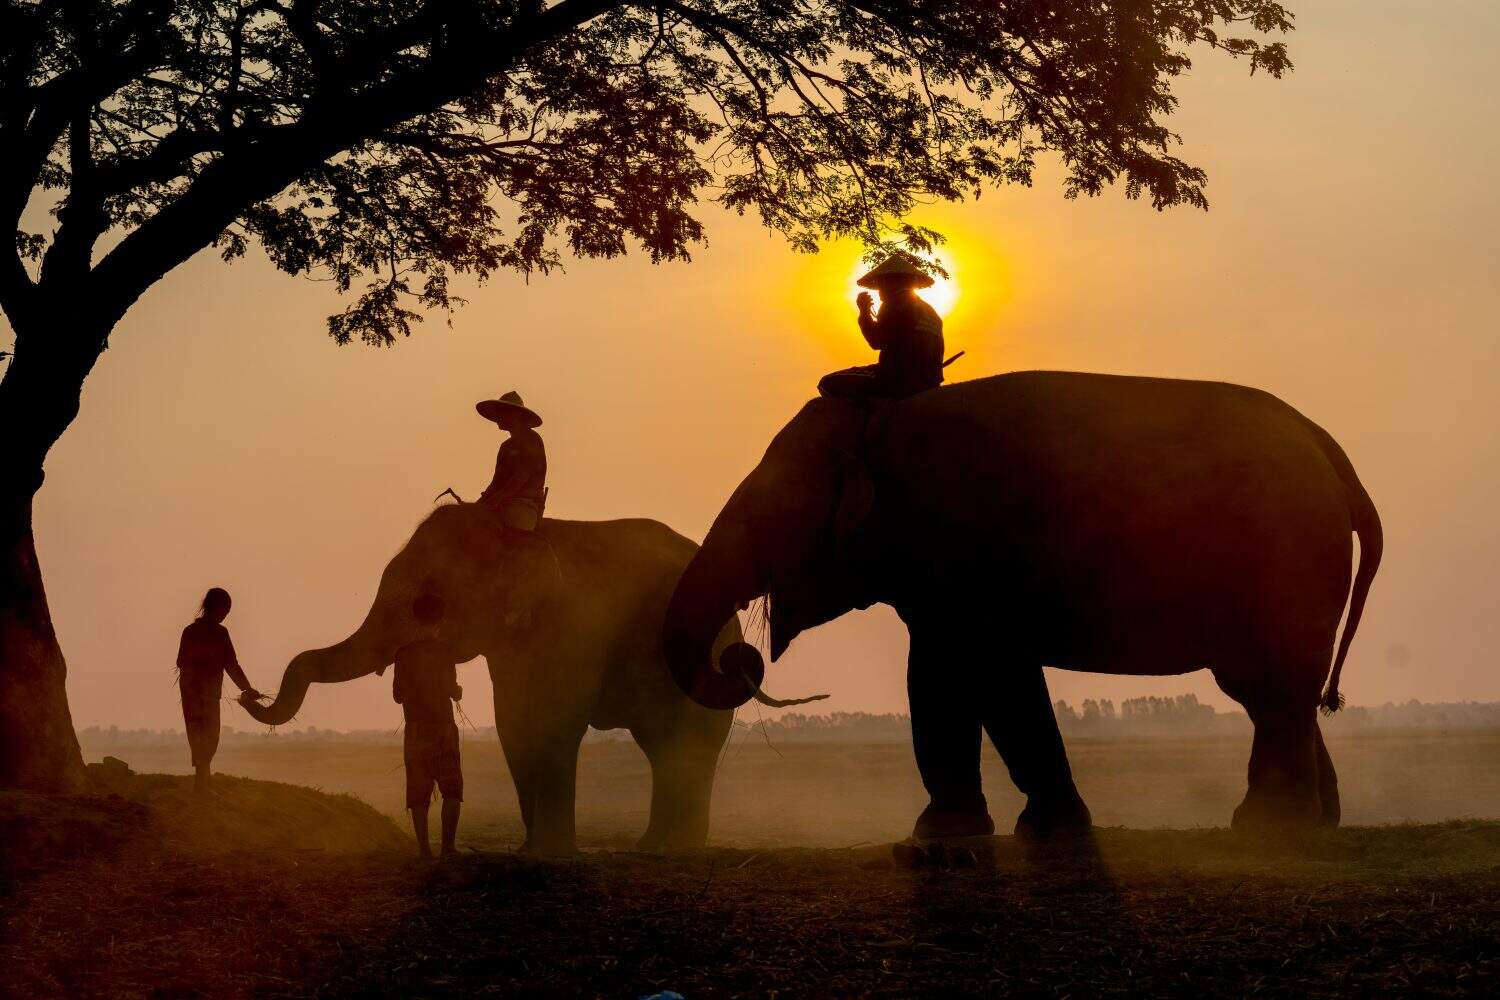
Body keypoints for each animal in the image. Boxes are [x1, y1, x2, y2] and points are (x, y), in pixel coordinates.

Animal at [242, 503, 788, 856]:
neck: (514, 535)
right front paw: (530, 851)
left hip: (710, 656)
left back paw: (676, 850)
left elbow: (554, 724)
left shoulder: (575, 625)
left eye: (425, 596)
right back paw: (652, 848)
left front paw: (549, 854)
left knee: (687, 743)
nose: (251, 696)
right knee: (664, 748)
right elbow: (514, 724)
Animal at [664, 371, 1382, 839]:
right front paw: (996, 830)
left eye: (763, 516)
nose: (741, 657)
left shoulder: (961, 541)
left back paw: (1268, 829)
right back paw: (1313, 825)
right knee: (1269, 692)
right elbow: (960, 671)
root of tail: (1332, 453)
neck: (879, 418)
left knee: (1277, 687)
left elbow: (979, 670)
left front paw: (965, 834)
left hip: (1286, 556)